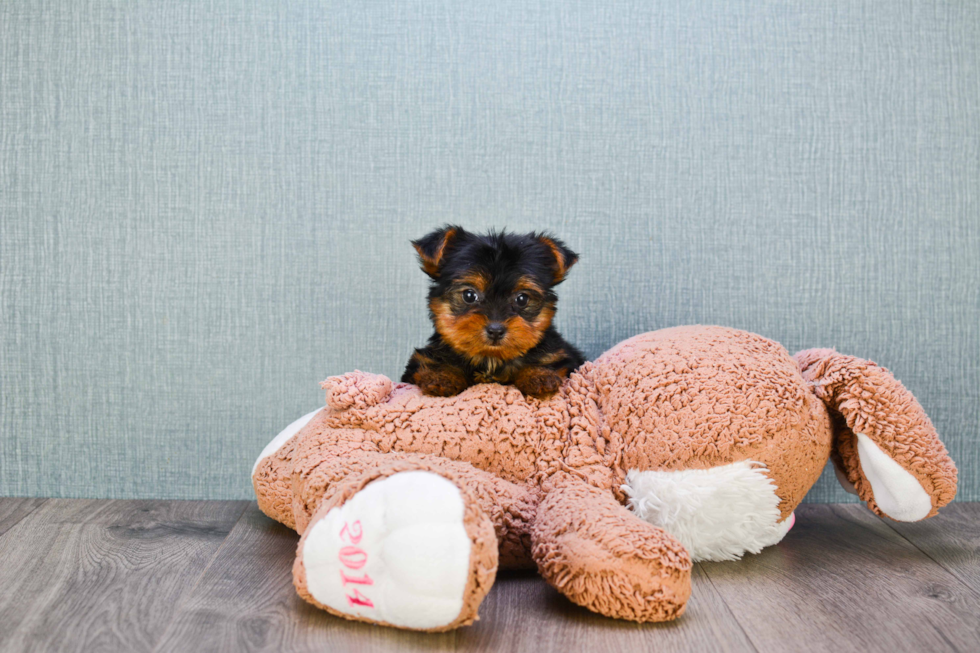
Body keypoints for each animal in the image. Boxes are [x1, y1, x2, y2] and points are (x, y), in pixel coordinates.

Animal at [402, 224, 584, 400]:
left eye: (522, 299)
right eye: (469, 295)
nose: (495, 330)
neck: (491, 359)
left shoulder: (561, 356)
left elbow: (548, 361)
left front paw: (539, 376)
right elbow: (433, 362)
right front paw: (442, 376)